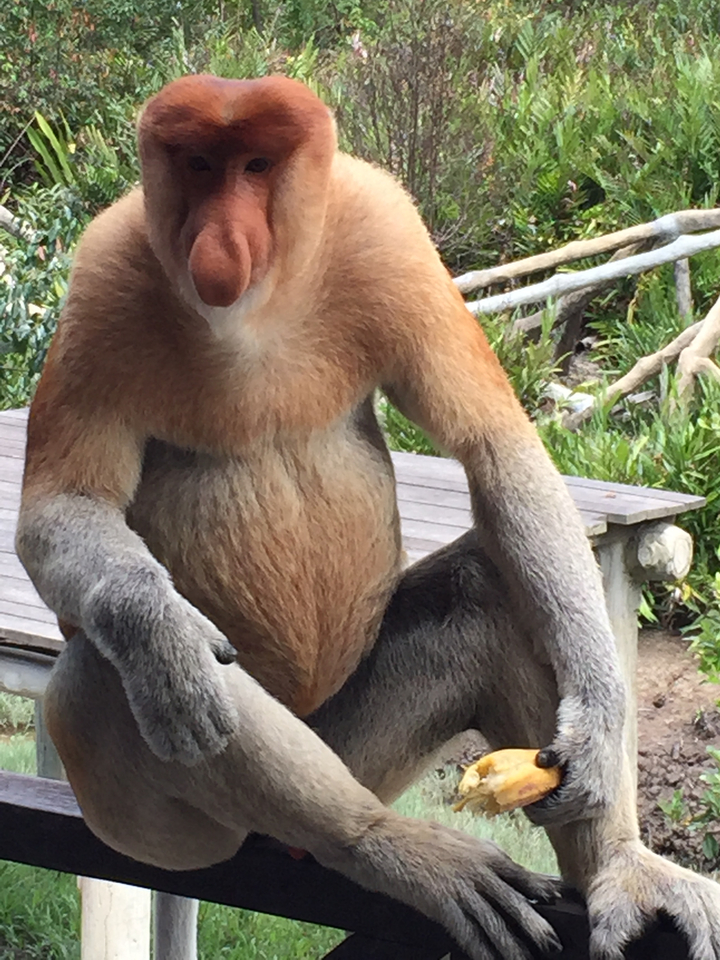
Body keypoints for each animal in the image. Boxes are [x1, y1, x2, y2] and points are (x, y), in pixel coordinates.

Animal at [15, 74, 720, 959]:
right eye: (200, 165)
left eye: (255, 165)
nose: (220, 239)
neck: (257, 308)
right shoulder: (103, 275)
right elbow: (59, 508)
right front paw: (163, 636)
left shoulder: (385, 232)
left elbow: (495, 445)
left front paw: (596, 719)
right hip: (169, 827)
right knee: (99, 677)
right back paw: (383, 847)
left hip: (359, 746)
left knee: (483, 587)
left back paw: (618, 870)